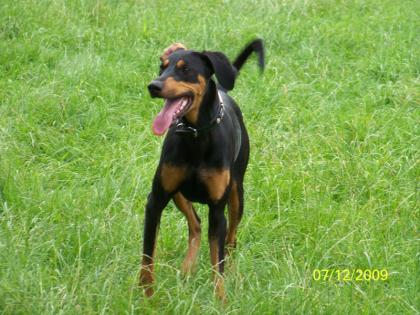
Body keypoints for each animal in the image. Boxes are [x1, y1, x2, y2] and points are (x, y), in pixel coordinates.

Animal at [141, 38, 266, 300]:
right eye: (162, 67)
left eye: (185, 69)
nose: (153, 86)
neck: (196, 135)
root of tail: (224, 92)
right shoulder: (155, 199)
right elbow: (147, 256)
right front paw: (146, 297)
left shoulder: (217, 210)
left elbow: (217, 262)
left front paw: (221, 300)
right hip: (177, 192)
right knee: (195, 224)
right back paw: (187, 269)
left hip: (236, 195)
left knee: (230, 240)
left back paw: (231, 272)